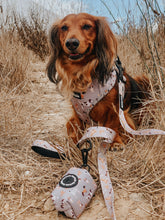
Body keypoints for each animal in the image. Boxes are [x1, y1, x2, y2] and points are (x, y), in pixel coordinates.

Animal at [46, 12, 150, 150]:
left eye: (87, 26)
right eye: (64, 27)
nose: (71, 43)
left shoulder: (116, 110)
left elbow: (112, 127)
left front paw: (114, 142)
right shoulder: (77, 113)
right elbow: (79, 129)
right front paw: (76, 144)